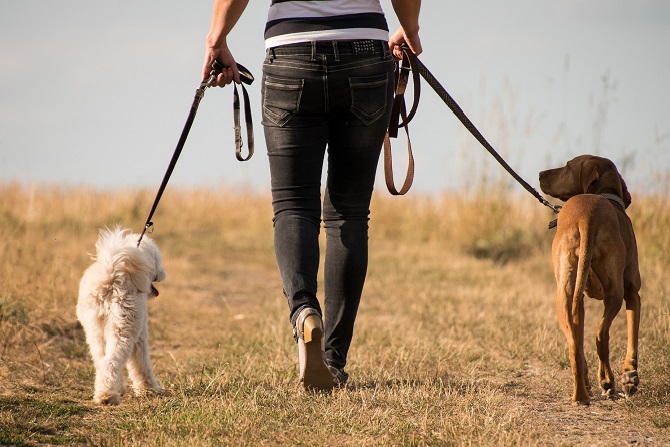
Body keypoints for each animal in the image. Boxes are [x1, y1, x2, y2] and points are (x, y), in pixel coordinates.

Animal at [77, 228, 167, 406]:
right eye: (157, 260)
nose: (163, 272)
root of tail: (111, 274)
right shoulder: (140, 337)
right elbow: (142, 365)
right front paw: (149, 389)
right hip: (123, 330)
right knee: (111, 362)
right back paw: (108, 397)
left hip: (94, 332)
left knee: (101, 362)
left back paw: (105, 392)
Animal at [540, 155, 644, 406]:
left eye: (567, 166)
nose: (539, 174)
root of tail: (587, 217)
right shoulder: (632, 292)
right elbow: (632, 336)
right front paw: (630, 376)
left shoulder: (579, 301)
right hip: (614, 293)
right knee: (601, 335)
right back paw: (608, 382)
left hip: (564, 294)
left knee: (574, 345)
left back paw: (581, 395)